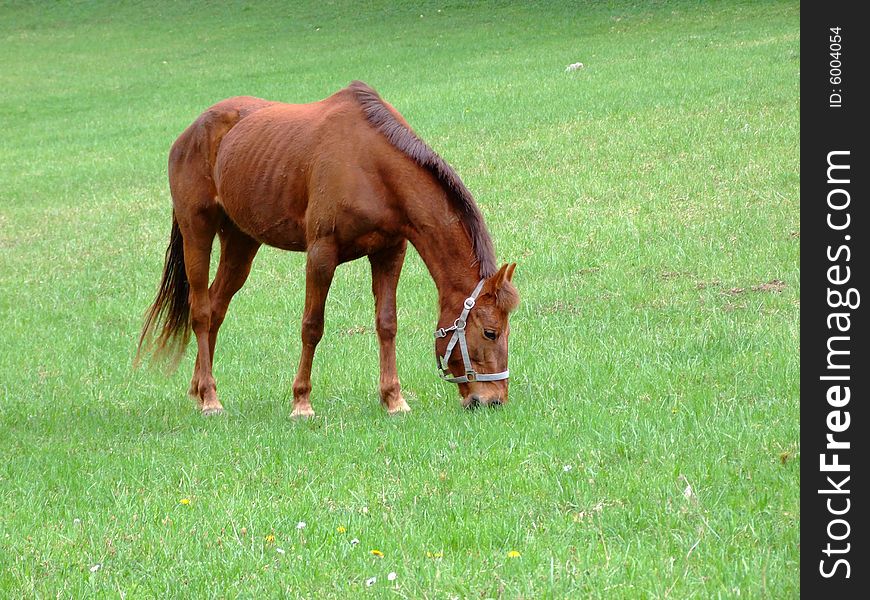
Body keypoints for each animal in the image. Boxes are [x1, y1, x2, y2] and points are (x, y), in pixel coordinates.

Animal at [135, 81, 516, 418]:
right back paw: (210, 399)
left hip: (241, 243)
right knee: (201, 311)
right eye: (490, 332)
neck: (372, 165)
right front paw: (301, 403)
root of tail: (192, 131)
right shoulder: (321, 254)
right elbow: (312, 326)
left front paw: (393, 399)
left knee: (215, 308)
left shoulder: (390, 252)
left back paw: (201, 389)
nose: (494, 400)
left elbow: (387, 324)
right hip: (197, 230)